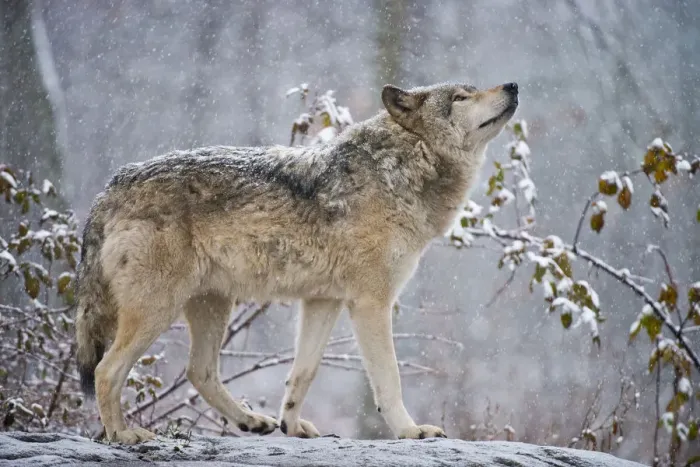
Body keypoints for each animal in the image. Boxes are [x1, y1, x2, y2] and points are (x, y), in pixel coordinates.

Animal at [75, 81, 518, 444]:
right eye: (460, 97)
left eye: (472, 89)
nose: (512, 85)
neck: (403, 167)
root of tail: (109, 188)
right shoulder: (370, 304)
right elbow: (388, 380)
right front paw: (410, 431)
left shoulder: (323, 301)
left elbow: (303, 374)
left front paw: (290, 425)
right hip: (158, 309)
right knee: (106, 371)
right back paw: (122, 434)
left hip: (212, 304)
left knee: (198, 372)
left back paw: (251, 421)